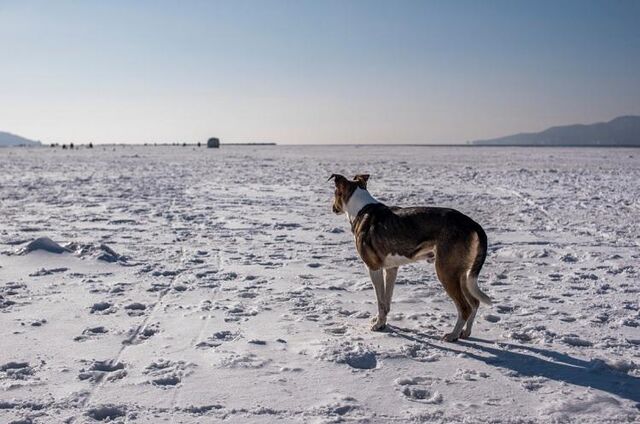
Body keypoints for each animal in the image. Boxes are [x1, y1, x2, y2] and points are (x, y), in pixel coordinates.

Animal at [328, 172, 492, 342]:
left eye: (334, 193)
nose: (333, 208)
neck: (361, 209)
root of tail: (472, 224)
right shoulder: (391, 269)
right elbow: (386, 301)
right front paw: (382, 322)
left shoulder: (374, 268)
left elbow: (380, 301)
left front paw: (378, 325)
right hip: (463, 274)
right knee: (475, 302)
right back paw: (465, 332)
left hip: (446, 272)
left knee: (465, 307)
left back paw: (452, 335)